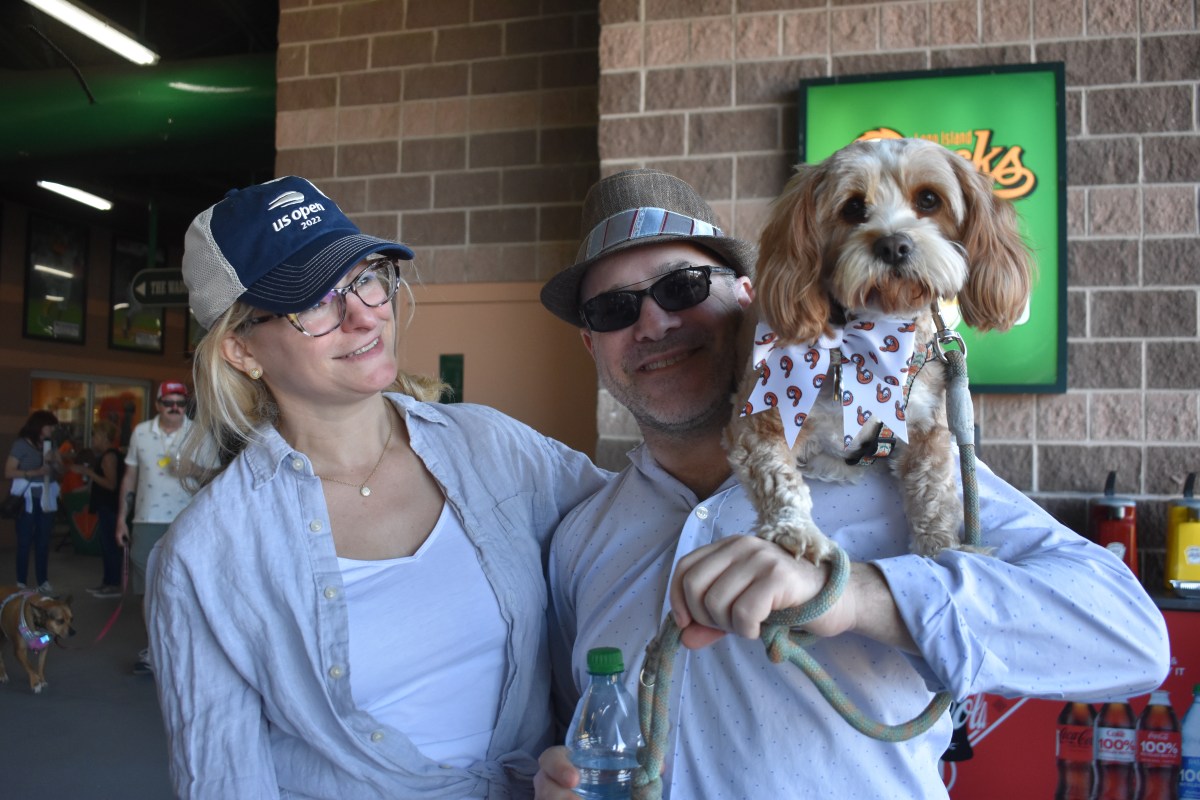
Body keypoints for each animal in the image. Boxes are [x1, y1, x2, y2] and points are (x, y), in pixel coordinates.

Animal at [724, 136, 1036, 563]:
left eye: (928, 199)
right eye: (853, 207)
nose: (894, 245)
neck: (873, 340)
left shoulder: (927, 428)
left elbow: (933, 495)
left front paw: (942, 550)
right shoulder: (761, 419)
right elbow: (778, 477)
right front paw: (795, 533)